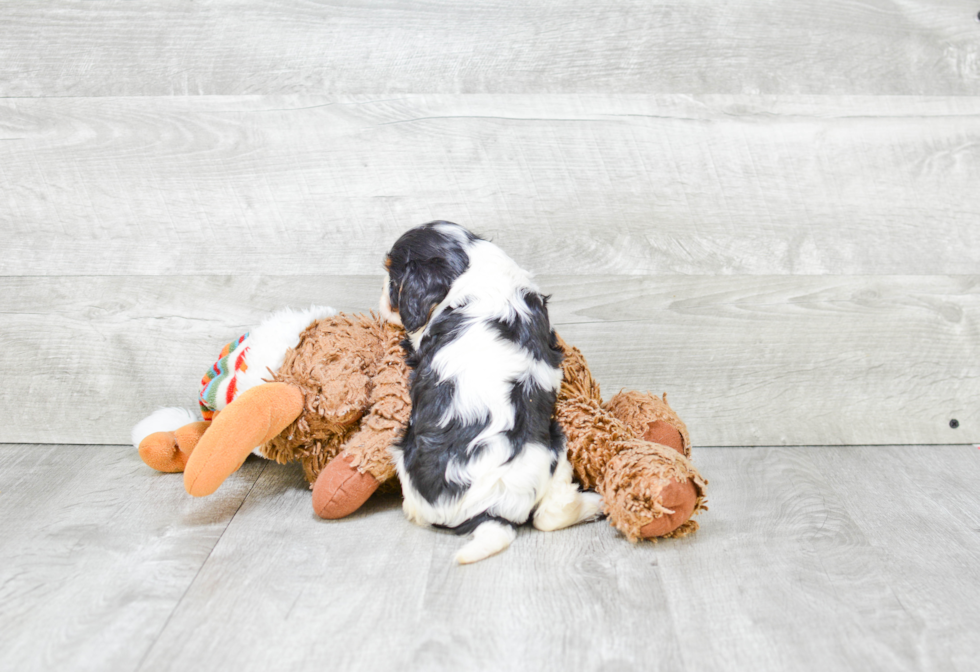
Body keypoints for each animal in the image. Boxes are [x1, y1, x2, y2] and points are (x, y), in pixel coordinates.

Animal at [378, 220, 600, 560]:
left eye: (392, 278)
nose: (380, 297)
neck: (470, 264)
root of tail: (488, 512)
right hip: (553, 448)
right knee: (551, 515)